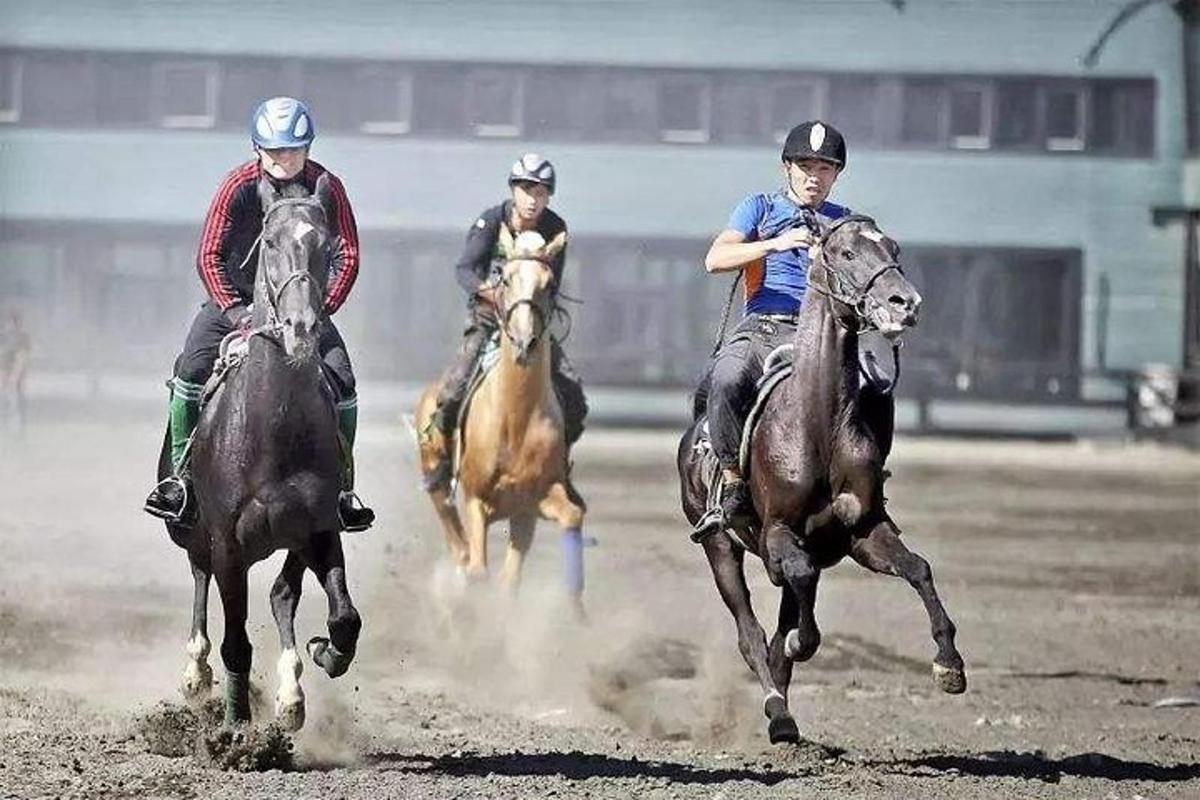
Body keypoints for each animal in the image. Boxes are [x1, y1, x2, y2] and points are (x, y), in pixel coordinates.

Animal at [162, 175, 362, 734]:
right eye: (269, 243)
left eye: (325, 245)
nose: (301, 326)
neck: (275, 428)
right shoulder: (228, 546)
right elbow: (236, 643)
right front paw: (236, 731)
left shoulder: (320, 529)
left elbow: (344, 617)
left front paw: (324, 653)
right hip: (194, 531)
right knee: (199, 576)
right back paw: (196, 673)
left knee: (282, 594)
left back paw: (292, 693)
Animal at [415, 231, 588, 614]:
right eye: (505, 279)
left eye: (549, 283)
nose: (525, 342)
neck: (515, 419)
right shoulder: (475, 499)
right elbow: (478, 571)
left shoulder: (534, 501)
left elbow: (571, 517)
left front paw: (575, 607)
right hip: (436, 475)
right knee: (457, 542)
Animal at [681, 214, 969, 743]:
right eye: (846, 253)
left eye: (894, 249)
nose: (905, 303)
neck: (818, 426)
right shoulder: (777, 533)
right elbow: (796, 598)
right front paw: (801, 645)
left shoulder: (862, 532)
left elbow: (918, 568)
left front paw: (949, 666)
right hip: (719, 545)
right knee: (751, 633)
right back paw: (778, 714)